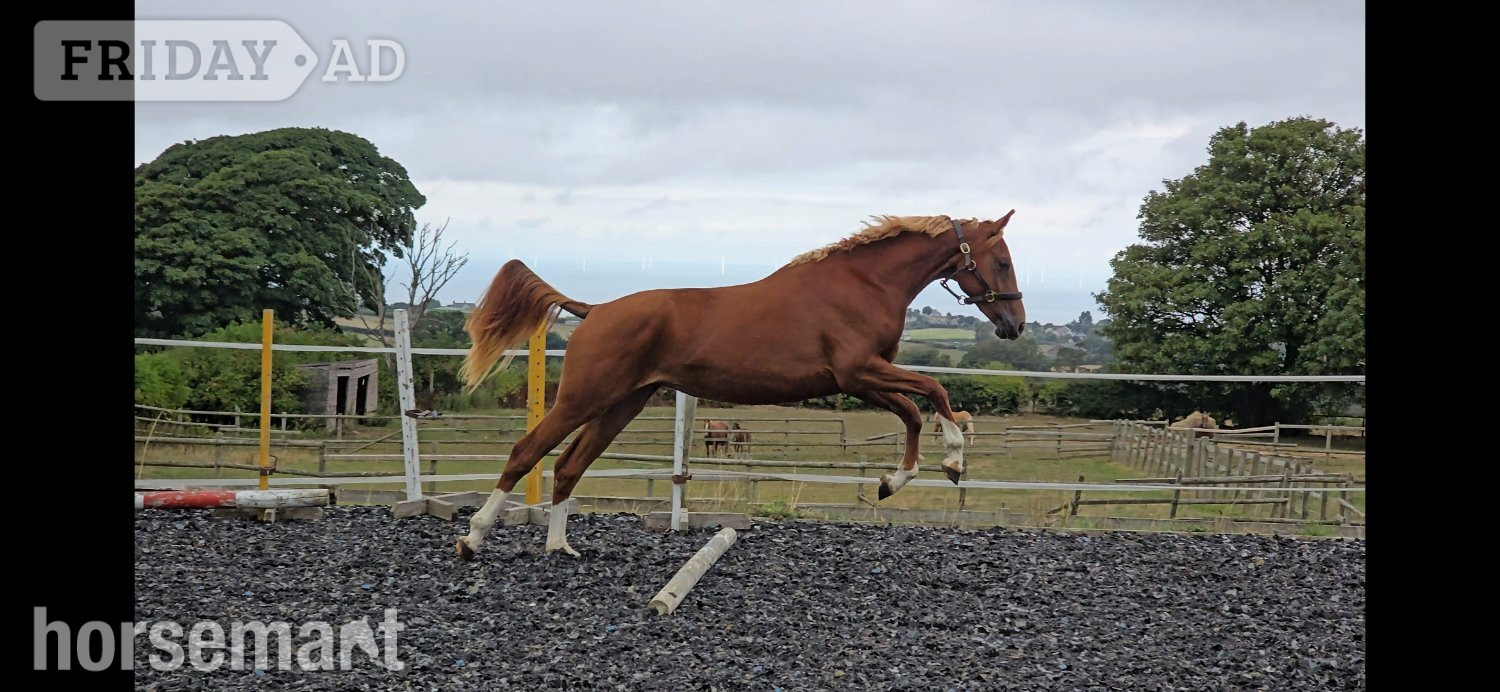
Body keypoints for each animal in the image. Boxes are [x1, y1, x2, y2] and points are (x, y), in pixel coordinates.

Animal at [455, 212, 1025, 558]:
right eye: (1002, 260)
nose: (1014, 325)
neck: (863, 285)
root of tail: (594, 309)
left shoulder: (861, 379)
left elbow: (911, 410)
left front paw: (893, 482)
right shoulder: (859, 371)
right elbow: (934, 391)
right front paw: (952, 460)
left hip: (623, 403)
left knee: (570, 465)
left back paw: (559, 547)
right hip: (584, 397)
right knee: (527, 451)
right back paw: (473, 537)